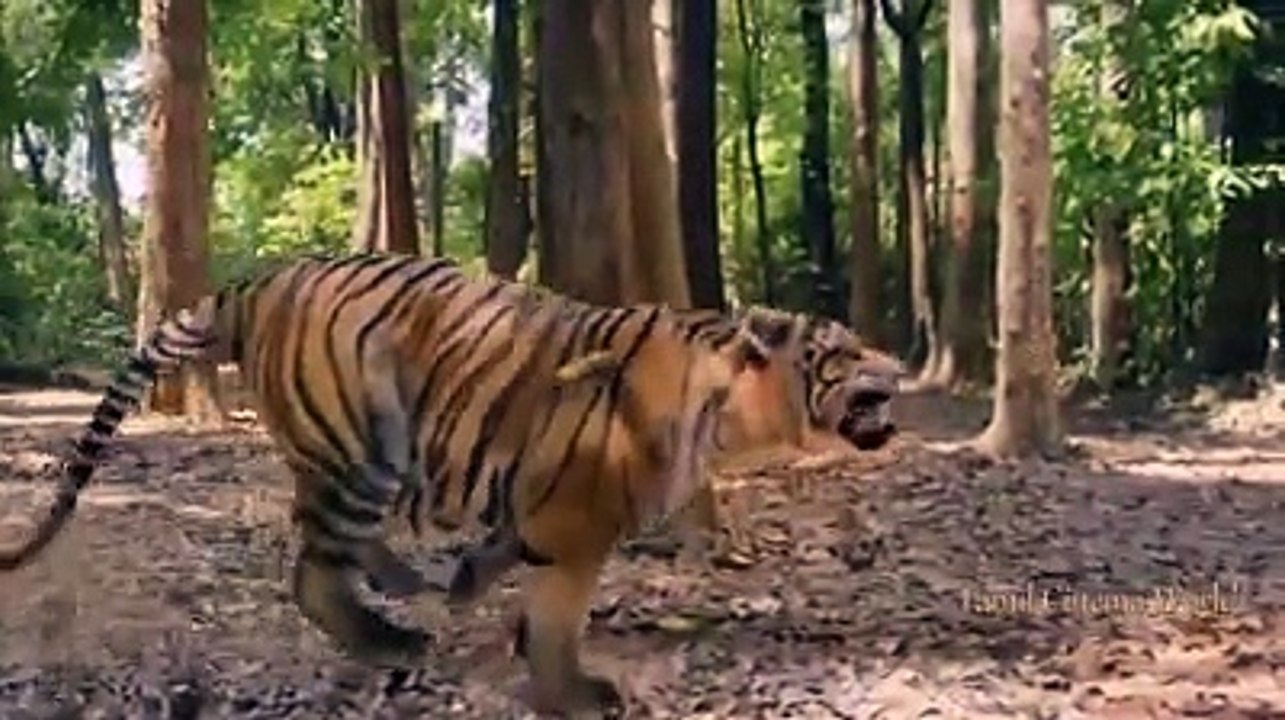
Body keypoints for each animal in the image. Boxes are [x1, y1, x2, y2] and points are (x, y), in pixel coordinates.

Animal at [0, 251, 771, 716]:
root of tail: (252, 286)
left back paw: (405, 584)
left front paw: (473, 580)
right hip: (360, 447)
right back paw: (393, 639)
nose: (721, 542)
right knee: (314, 572)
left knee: (318, 530)